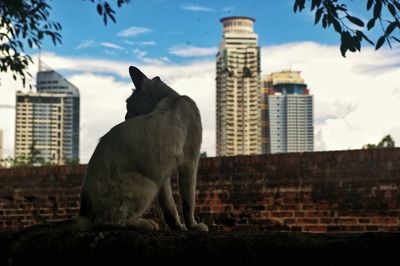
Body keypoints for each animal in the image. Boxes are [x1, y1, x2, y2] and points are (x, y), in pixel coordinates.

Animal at [77, 66, 209, 231]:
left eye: (127, 104)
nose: (125, 116)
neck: (172, 98)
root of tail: (84, 212)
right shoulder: (190, 162)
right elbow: (189, 200)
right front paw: (193, 226)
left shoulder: (162, 175)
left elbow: (169, 207)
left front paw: (178, 227)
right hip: (148, 186)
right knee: (109, 222)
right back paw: (147, 224)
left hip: (153, 181)